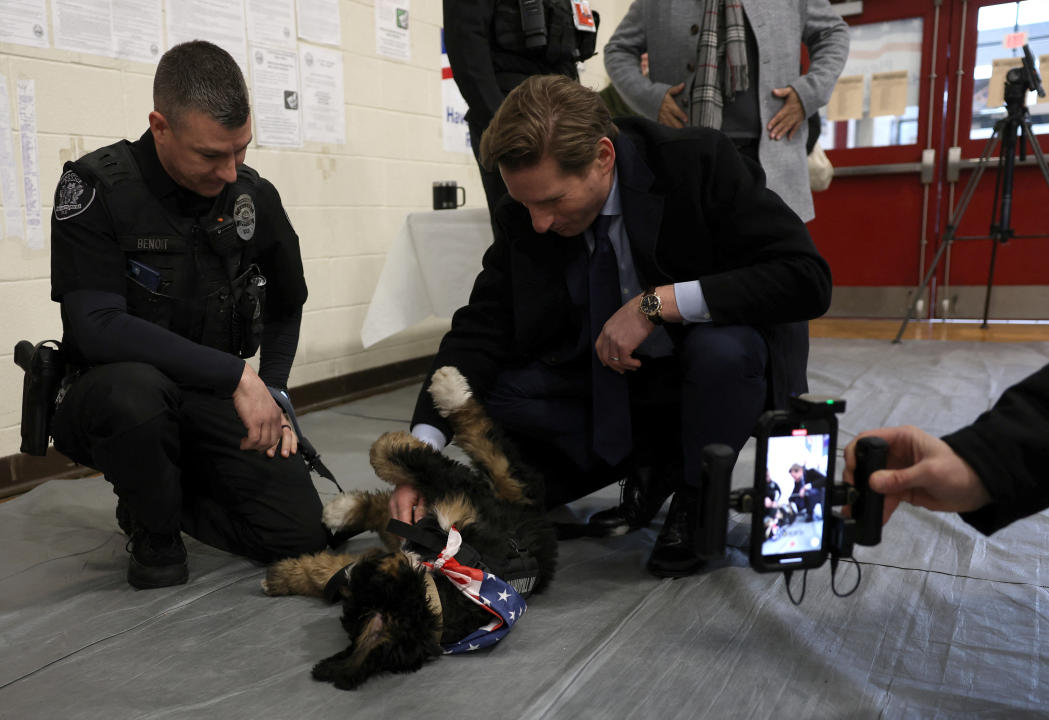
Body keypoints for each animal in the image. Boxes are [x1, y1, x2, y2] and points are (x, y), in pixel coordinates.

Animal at [262, 369, 558, 692]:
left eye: (358, 586)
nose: (353, 571)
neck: (444, 585)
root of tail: (540, 521)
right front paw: (282, 578)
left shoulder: (456, 491)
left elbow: (391, 452)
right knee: (390, 510)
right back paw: (343, 510)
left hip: (511, 492)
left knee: (493, 450)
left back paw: (451, 390)